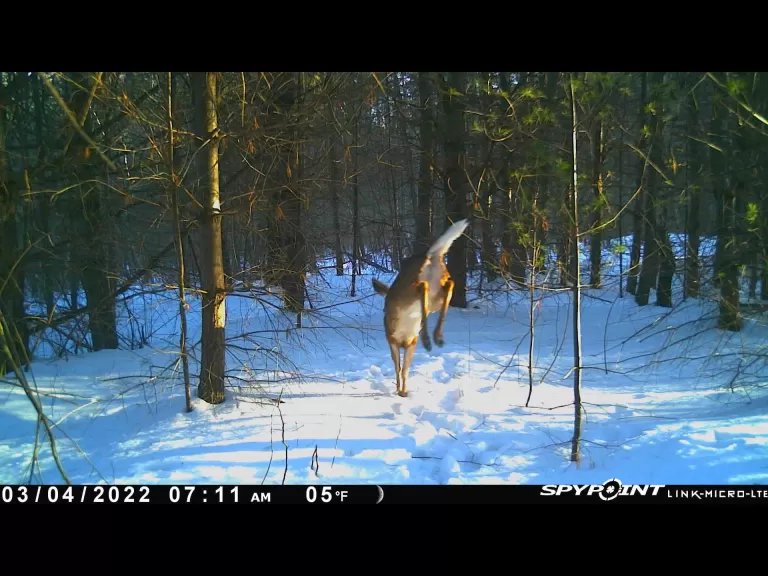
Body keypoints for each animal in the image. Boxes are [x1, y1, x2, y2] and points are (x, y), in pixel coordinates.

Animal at [372, 218, 469, 397]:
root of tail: (429, 255)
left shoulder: (393, 340)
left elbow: (399, 368)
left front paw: (400, 390)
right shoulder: (410, 343)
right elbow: (405, 369)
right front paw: (403, 391)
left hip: (408, 291)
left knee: (422, 287)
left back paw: (428, 337)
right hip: (436, 293)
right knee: (448, 285)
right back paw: (436, 336)